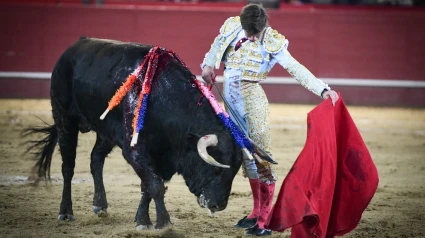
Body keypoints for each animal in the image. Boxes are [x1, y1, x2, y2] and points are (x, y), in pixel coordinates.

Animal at [26, 37, 243, 231]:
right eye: (215, 170)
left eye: (234, 172)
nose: (219, 205)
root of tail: (74, 47)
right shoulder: (135, 149)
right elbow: (155, 185)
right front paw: (163, 223)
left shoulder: (159, 155)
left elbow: (147, 186)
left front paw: (142, 220)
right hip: (64, 118)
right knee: (68, 167)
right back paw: (65, 212)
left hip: (106, 131)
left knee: (95, 158)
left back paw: (100, 205)